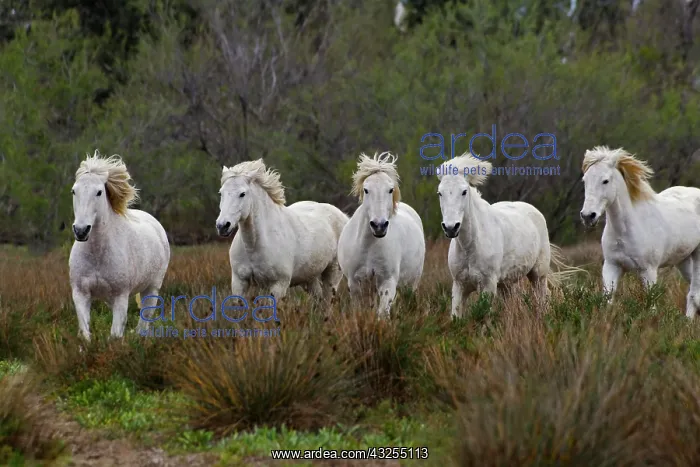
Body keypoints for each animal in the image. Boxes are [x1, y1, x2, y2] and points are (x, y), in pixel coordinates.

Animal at [69, 151, 170, 341]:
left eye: (99, 192)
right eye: (73, 191)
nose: (81, 231)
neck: (97, 254)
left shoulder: (120, 296)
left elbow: (115, 335)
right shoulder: (80, 293)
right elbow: (85, 332)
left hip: (152, 288)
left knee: (144, 321)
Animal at [215, 159, 349, 304]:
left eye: (242, 194)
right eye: (221, 193)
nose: (222, 226)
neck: (254, 246)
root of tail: (343, 216)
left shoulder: (278, 285)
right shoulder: (239, 283)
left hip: (332, 273)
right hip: (309, 278)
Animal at [337, 152, 425, 317]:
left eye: (390, 189)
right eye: (366, 189)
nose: (379, 226)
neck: (368, 245)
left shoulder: (387, 281)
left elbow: (382, 313)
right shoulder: (355, 283)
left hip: (411, 283)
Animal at [437, 153, 580, 319]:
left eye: (464, 191)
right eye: (440, 193)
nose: (450, 228)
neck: (470, 247)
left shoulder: (488, 285)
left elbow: (485, 318)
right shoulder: (459, 285)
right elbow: (456, 317)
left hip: (538, 274)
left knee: (543, 298)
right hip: (506, 283)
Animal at [580, 146, 700, 318]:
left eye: (605, 181)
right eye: (585, 180)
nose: (588, 216)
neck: (627, 230)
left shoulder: (648, 271)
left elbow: (652, 306)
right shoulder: (611, 266)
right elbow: (607, 301)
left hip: (697, 255)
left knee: (694, 293)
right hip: (683, 260)